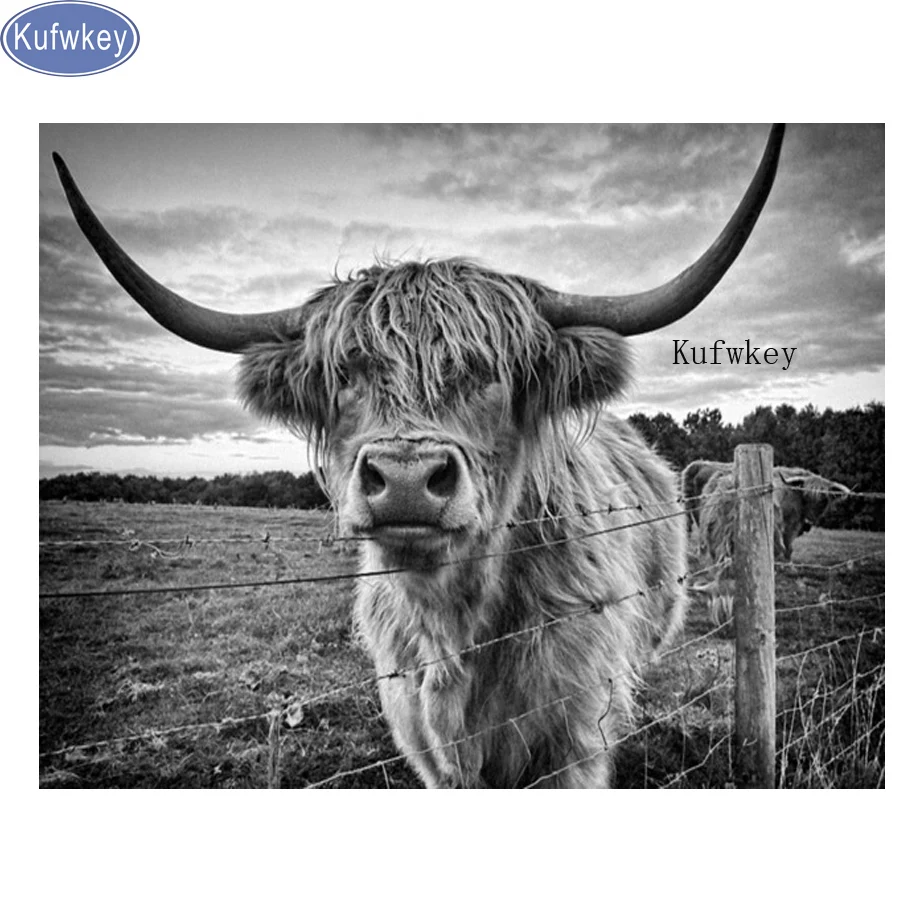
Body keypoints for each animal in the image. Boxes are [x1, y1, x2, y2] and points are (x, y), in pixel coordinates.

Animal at [51, 124, 784, 788]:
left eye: (492, 375)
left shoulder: (575, 742)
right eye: (345, 375)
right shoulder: (425, 745)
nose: (405, 480)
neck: (453, 629)